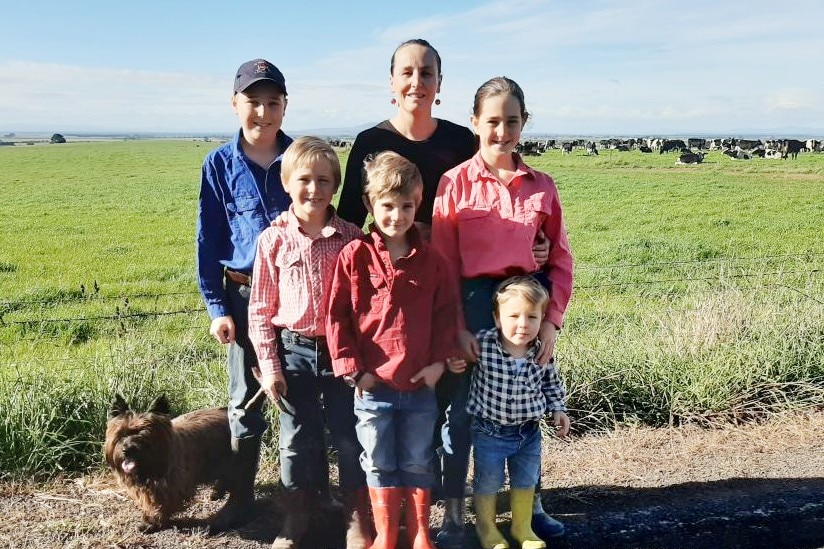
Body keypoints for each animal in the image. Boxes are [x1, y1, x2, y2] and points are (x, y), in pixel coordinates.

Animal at [104, 394, 240, 532]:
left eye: (144, 435)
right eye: (121, 434)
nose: (127, 450)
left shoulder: (169, 486)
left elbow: (160, 503)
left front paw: (152, 522)